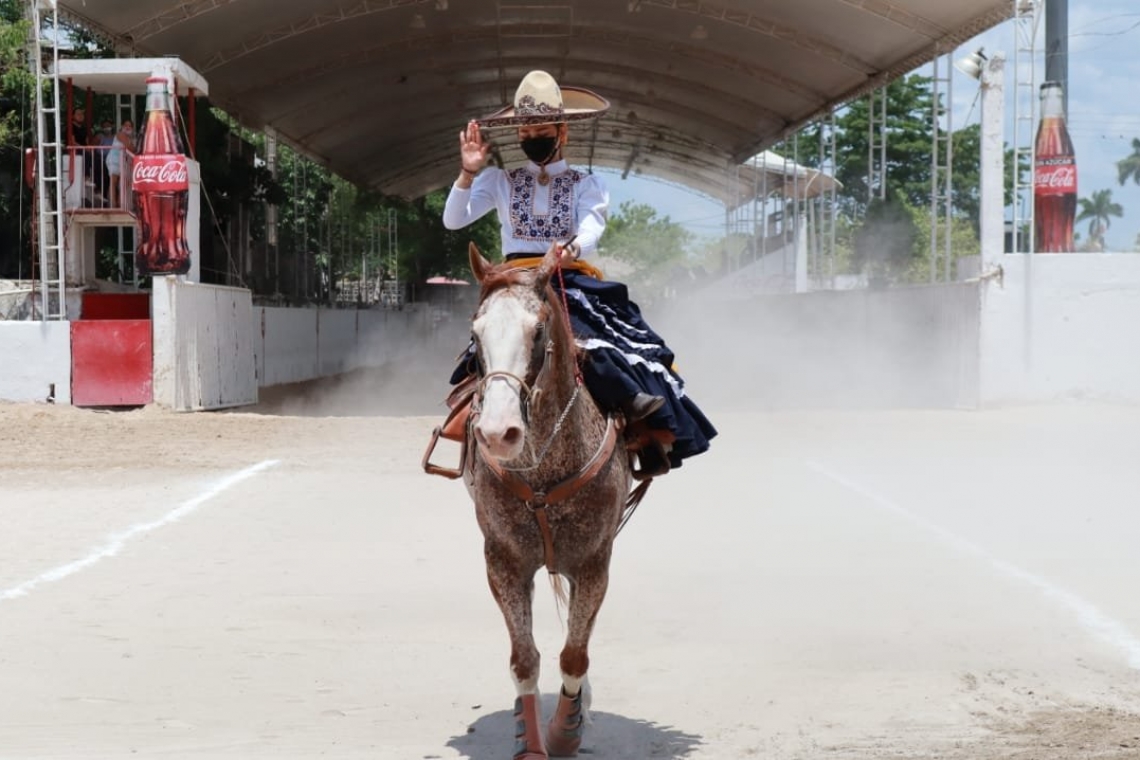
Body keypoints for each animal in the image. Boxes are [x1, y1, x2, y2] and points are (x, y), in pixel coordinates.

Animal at [453, 240, 638, 756]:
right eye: (475, 335)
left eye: (537, 331)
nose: (498, 432)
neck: (541, 473)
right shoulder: (503, 561)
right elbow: (525, 659)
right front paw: (532, 740)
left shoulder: (595, 561)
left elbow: (574, 655)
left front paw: (564, 732)